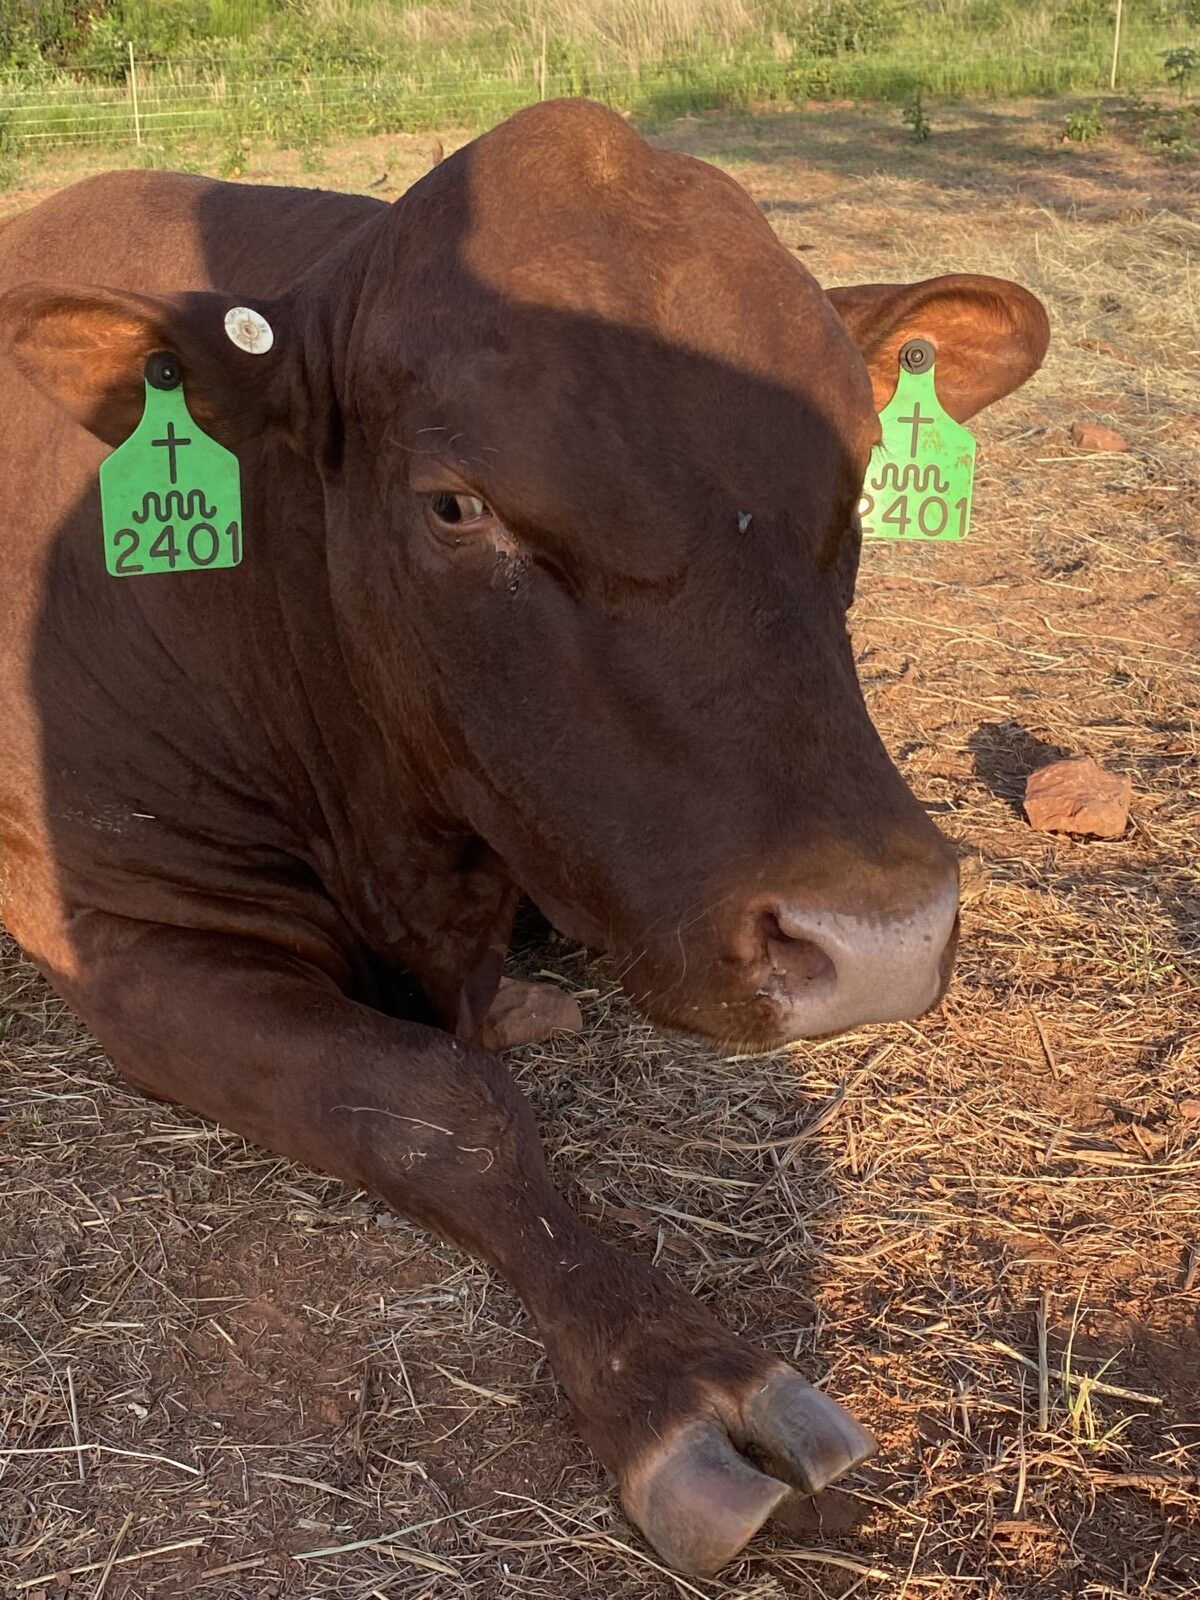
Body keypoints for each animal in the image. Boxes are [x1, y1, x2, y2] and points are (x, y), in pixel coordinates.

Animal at [0, 99, 1048, 1576]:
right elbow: (440, 1101)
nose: (883, 934)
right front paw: (680, 1378)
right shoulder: (122, 926)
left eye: (856, 485)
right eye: (455, 504)